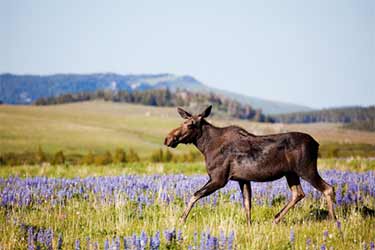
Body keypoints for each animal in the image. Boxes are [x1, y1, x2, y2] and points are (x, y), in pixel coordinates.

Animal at [164, 105, 338, 225]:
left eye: (190, 125)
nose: (168, 138)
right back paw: (276, 219)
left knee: (328, 188)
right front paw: (249, 226)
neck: (206, 147)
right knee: (298, 193)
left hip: (306, 169)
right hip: (291, 173)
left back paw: (334, 221)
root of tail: (317, 144)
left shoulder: (219, 179)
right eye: (183, 122)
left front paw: (181, 220)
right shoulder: (243, 179)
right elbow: (247, 205)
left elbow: (194, 195)